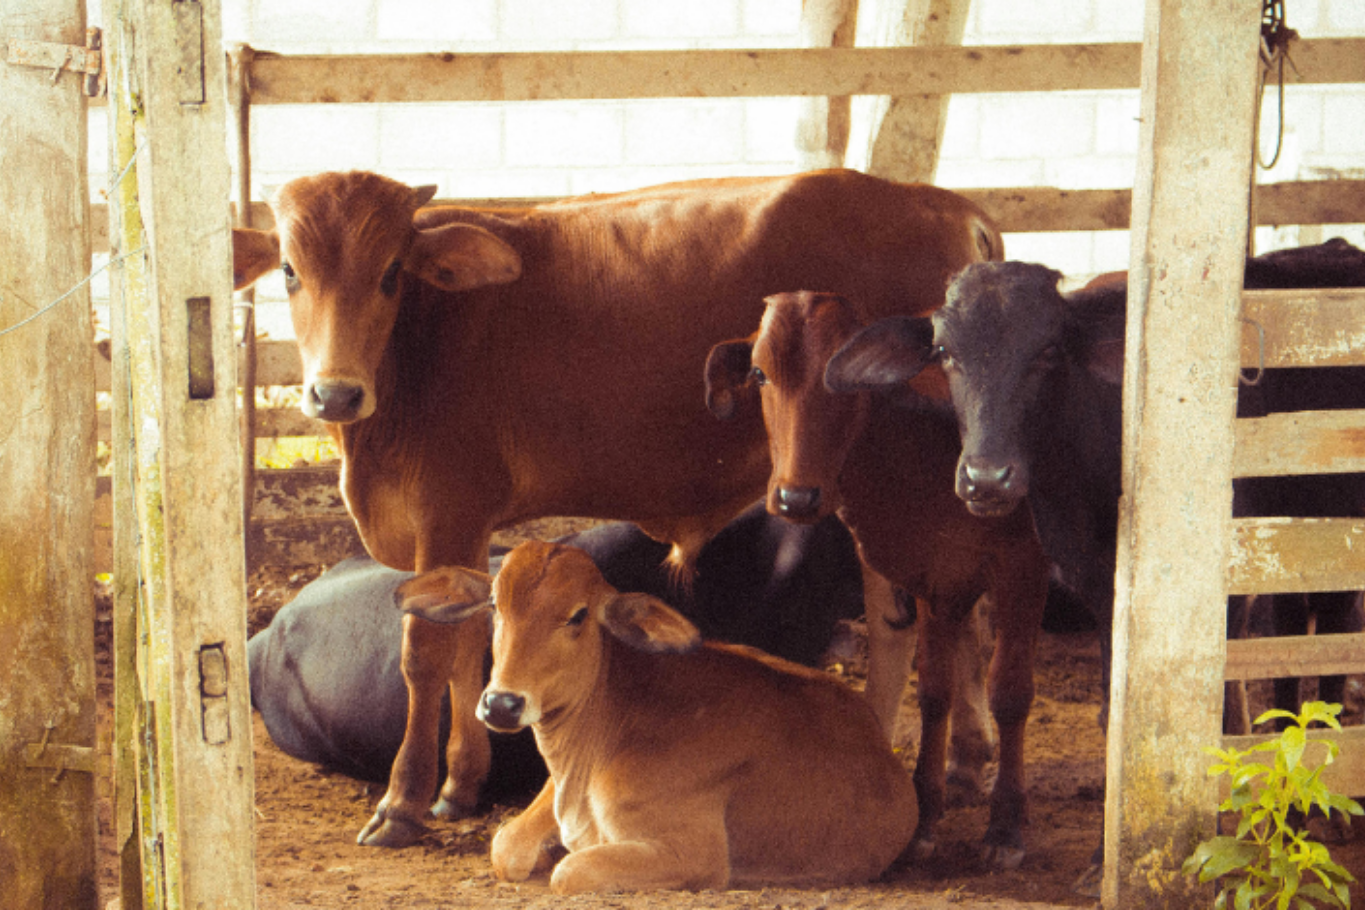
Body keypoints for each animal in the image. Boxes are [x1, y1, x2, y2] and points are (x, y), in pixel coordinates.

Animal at [394, 540, 918, 894]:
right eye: (495, 606)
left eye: (578, 616)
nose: (502, 703)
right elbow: (505, 847)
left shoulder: (695, 853)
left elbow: (571, 871)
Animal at [703, 291, 1050, 869]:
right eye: (758, 372)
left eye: (843, 378)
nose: (796, 497)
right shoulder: (936, 577)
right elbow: (934, 691)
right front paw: (923, 819)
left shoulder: (1024, 567)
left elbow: (1010, 692)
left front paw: (1004, 826)